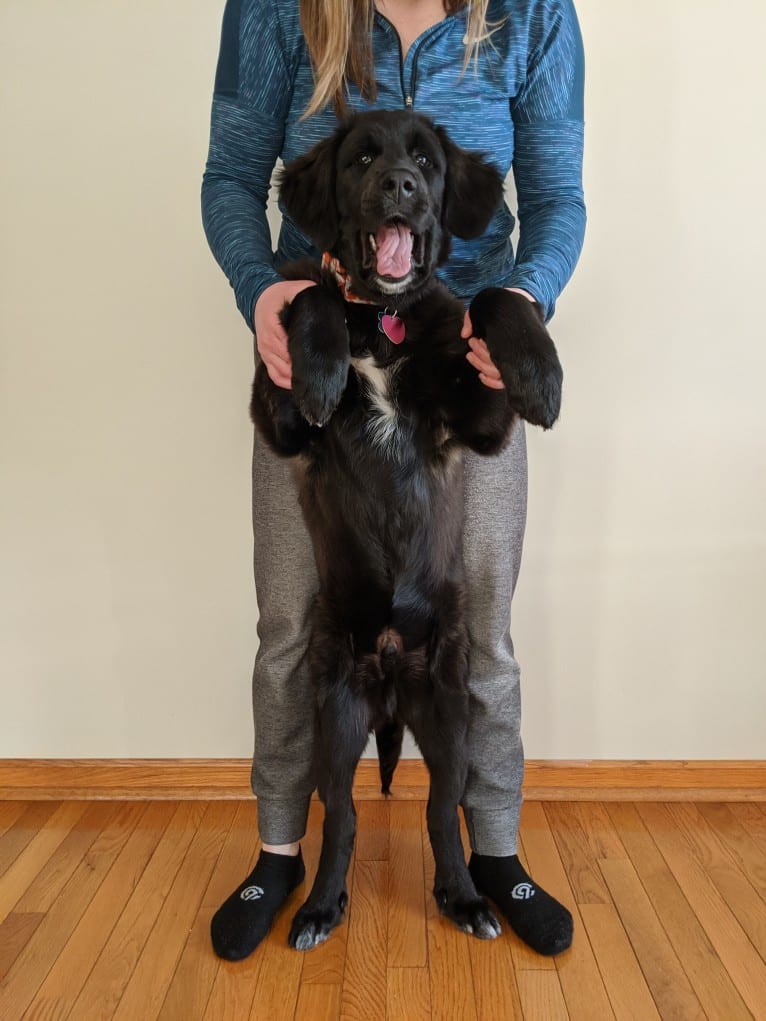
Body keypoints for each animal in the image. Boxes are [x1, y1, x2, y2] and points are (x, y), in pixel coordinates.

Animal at [252, 111, 563, 947]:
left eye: (425, 160)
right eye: (362, 158)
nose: (401, 186)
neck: (382, 321)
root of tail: (391, 681)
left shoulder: (479, 422)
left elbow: (491, 299)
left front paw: (539, 372)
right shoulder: (281, 423)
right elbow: (310, 295)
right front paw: (324, 365)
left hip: (451, 717)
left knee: (440, 813)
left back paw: (465, 896)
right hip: (334, 715)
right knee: (342, 820)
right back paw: (319, 906)